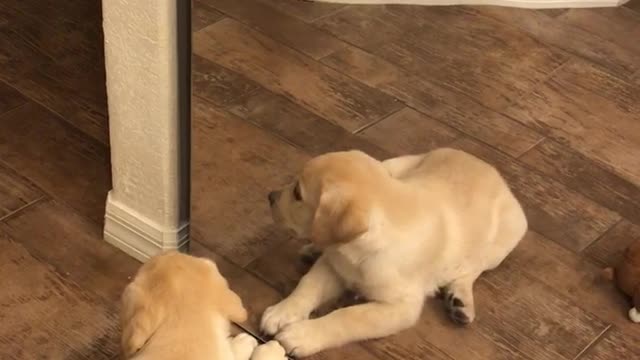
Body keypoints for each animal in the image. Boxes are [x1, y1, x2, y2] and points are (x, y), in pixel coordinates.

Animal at [262, 149, 528, 358]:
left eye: (297, 193)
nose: (270, 196)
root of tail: (486, 166)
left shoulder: (401, 307)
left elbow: (349, 316)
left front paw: (303, 335)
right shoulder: (335, 264)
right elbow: (308, 285)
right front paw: (282, 311)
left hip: (503, 240)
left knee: (473, 268)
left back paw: (460, 299)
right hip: (394, 163)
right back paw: (312, 249)